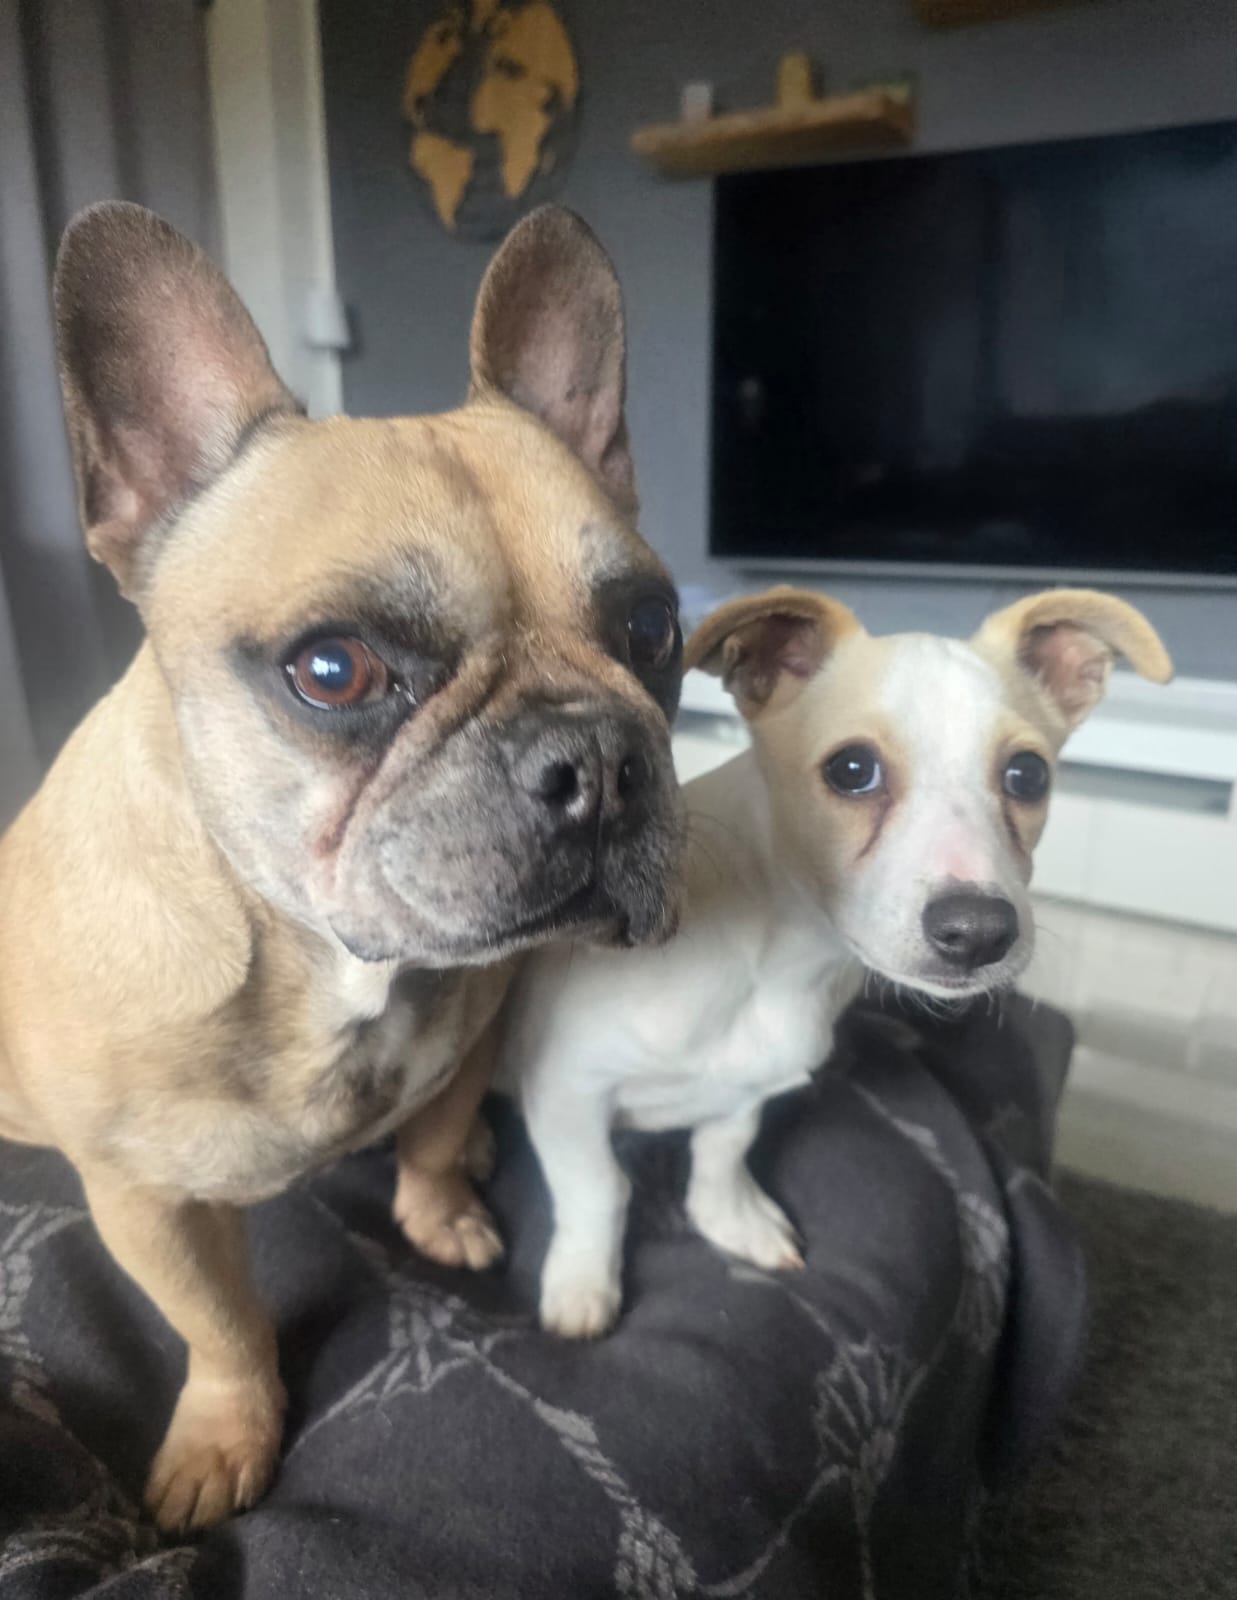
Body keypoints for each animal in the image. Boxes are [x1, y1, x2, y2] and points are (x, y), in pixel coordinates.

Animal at [0, 202, 684, 1529]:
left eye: (652, 631)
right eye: (335, 670)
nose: (599, 760)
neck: (326, 962)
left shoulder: (467, 1041)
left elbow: (431, 1139)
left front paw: (444, 1208)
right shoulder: (143, 1203)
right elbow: (220, 1326)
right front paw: (226, 1436)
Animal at [493, 584, 1172, 1338]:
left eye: (1028, 775)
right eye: (851, 770)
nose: (978, 933)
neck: (777, 960)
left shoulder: (747, 1090)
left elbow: (721, 1154)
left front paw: (730, 1219)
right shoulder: (567, 1091)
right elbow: (598, 1190)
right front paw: (584, 1283)